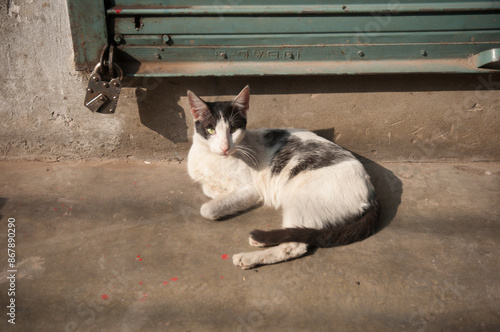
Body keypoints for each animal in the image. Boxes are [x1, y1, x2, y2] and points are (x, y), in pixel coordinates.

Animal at [187, 85, 378, 270]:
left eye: (233, 129)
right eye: (211, 129)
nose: (225, 147)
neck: (213, 158)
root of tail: (370, 190)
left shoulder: (251, 190)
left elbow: (207, 209)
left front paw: (222, 201)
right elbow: (208, 187)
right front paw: (220, 192)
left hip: (300, 198)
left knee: (294, 245)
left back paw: (249, 257)